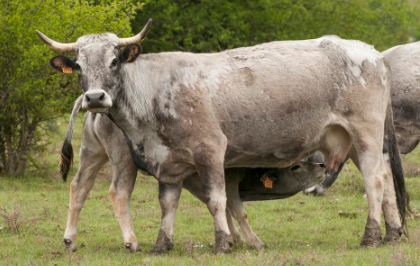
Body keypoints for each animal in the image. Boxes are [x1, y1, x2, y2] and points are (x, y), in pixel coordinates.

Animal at [60, 94, 326, 252]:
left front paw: (232, 237)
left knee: (78, 188)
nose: (322, 168)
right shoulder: (225, 179)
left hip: (92, 155)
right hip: (124, 162)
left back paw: (70, 240)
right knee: (119, 192)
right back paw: (131, 242)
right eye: (296, 166)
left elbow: (221, 208)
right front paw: (252, 241)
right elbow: (235, 209)